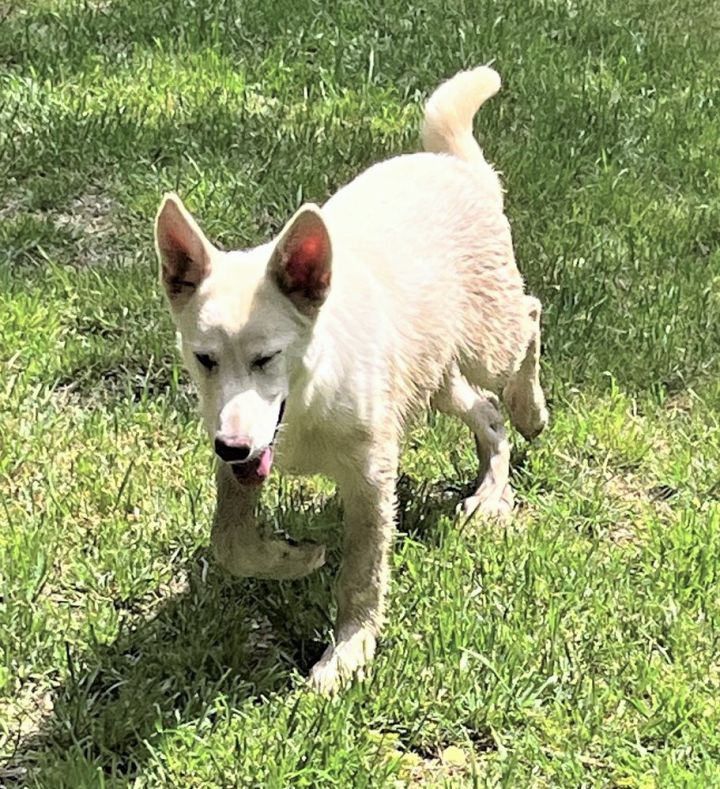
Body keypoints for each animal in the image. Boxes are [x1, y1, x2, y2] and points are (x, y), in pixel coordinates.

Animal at [152, 67, 544, 692]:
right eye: (203, 359)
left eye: (267, 358)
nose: (230, 446)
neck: (310, 400)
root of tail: (456, 166)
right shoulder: (241, 459)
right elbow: (230, 541)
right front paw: (292, 558)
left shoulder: (369, 479)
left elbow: (362, 571)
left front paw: (348, 652)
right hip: (434, 377)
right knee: (486, 411)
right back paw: (489, 490)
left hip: (488, 341)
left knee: (528, 320)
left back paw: (531, 409)